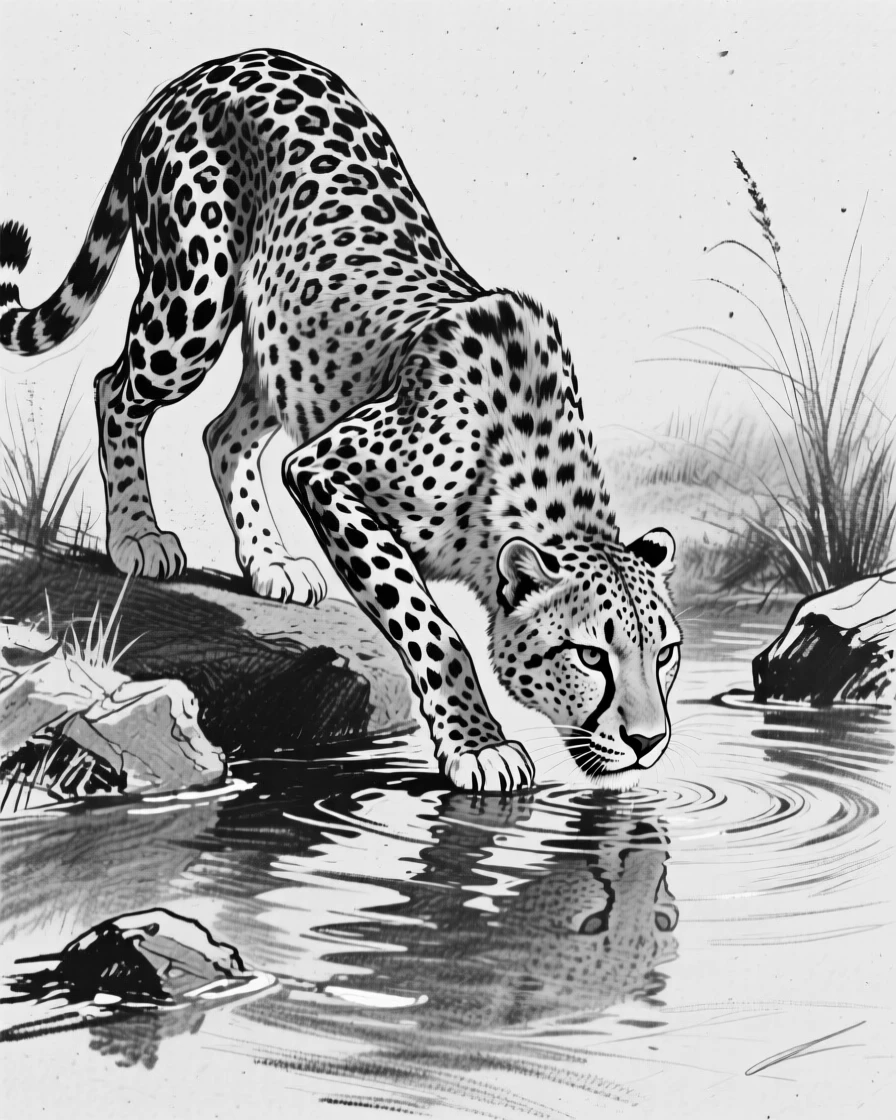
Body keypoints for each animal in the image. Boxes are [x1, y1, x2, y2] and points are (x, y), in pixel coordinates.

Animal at [0, 48, 682, 793]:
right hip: (191, 304)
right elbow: (432, 627)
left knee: (222, 433)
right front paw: (478, 744)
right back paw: (137, 537)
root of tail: (211, 67)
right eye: (591, 656)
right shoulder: (325, 470)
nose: (649, 742)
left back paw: (270, 562)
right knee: (115, 387)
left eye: (667, 654)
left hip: (283, 349)